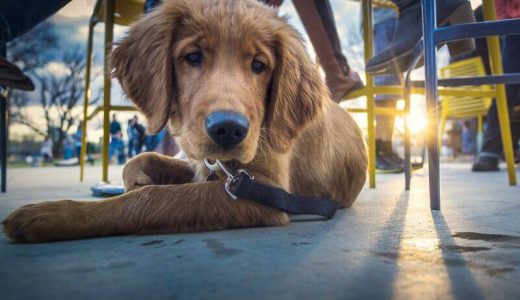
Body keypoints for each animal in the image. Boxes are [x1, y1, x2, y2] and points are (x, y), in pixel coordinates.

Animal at [2, 0, 366, 244]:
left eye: (259, 65)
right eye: (193, 56)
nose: (229, 129)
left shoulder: (264, 190)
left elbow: (152, 200)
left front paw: (54, 215)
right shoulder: (205, 164)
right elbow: (140, 159)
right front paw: (135, 180)